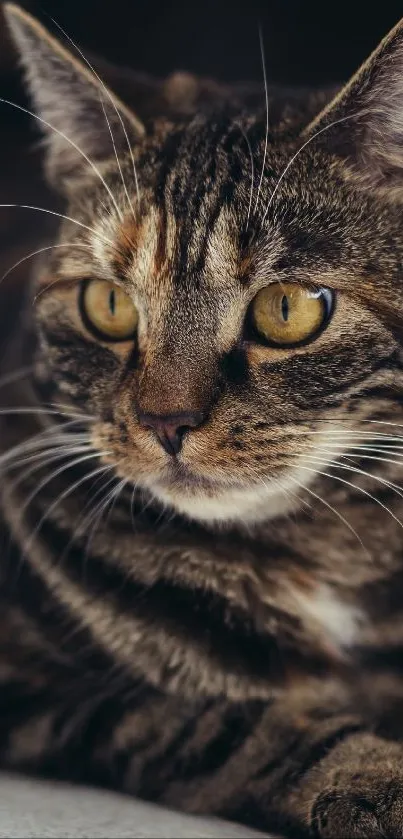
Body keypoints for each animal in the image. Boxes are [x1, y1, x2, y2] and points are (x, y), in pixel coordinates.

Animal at [0, 3, 403, 836]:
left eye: (287, 309)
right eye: (107, 304)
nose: (166, 420)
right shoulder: (53, 696)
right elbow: (225, 723)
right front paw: (374, 775)